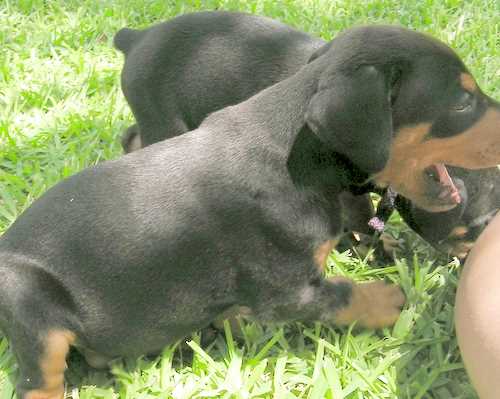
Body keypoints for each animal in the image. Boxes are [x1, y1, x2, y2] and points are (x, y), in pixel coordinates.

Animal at [116, 11, 500, 260]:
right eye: (463, 102)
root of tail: (137, 36)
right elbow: (361, 221)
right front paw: (377, 253)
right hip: (164, 117)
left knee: (130, 134)